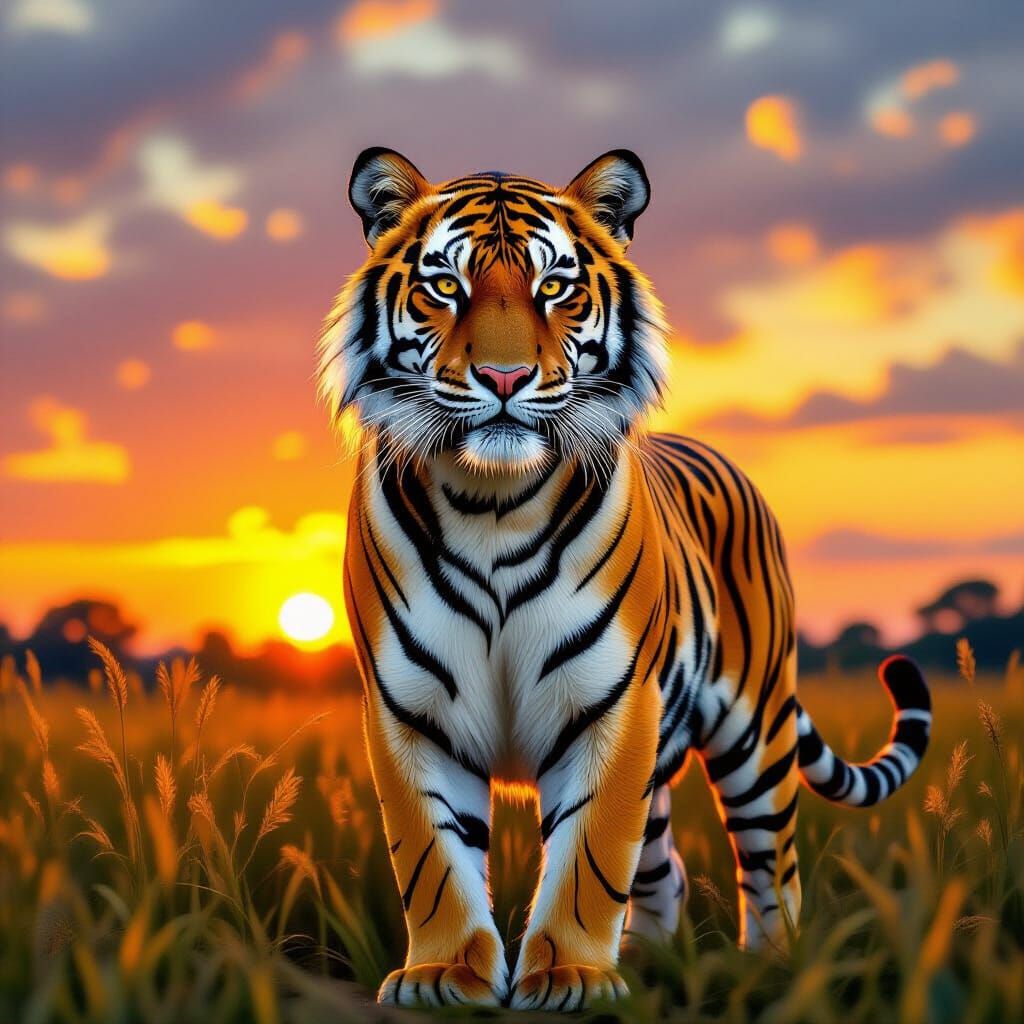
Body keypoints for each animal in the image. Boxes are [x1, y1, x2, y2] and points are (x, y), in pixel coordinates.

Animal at [317, 147, 932, 1010]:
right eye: (445, 286)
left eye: (554, 287)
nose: (503, 376)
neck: (490, 500)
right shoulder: (410, 710)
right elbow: (432, 857)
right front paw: (447, 976)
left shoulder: (614, 705)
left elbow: (589, 858)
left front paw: (568, 977)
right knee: (665, 868)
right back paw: (647, 963)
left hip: (756, 732)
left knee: (772, 866)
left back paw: (771, 969)